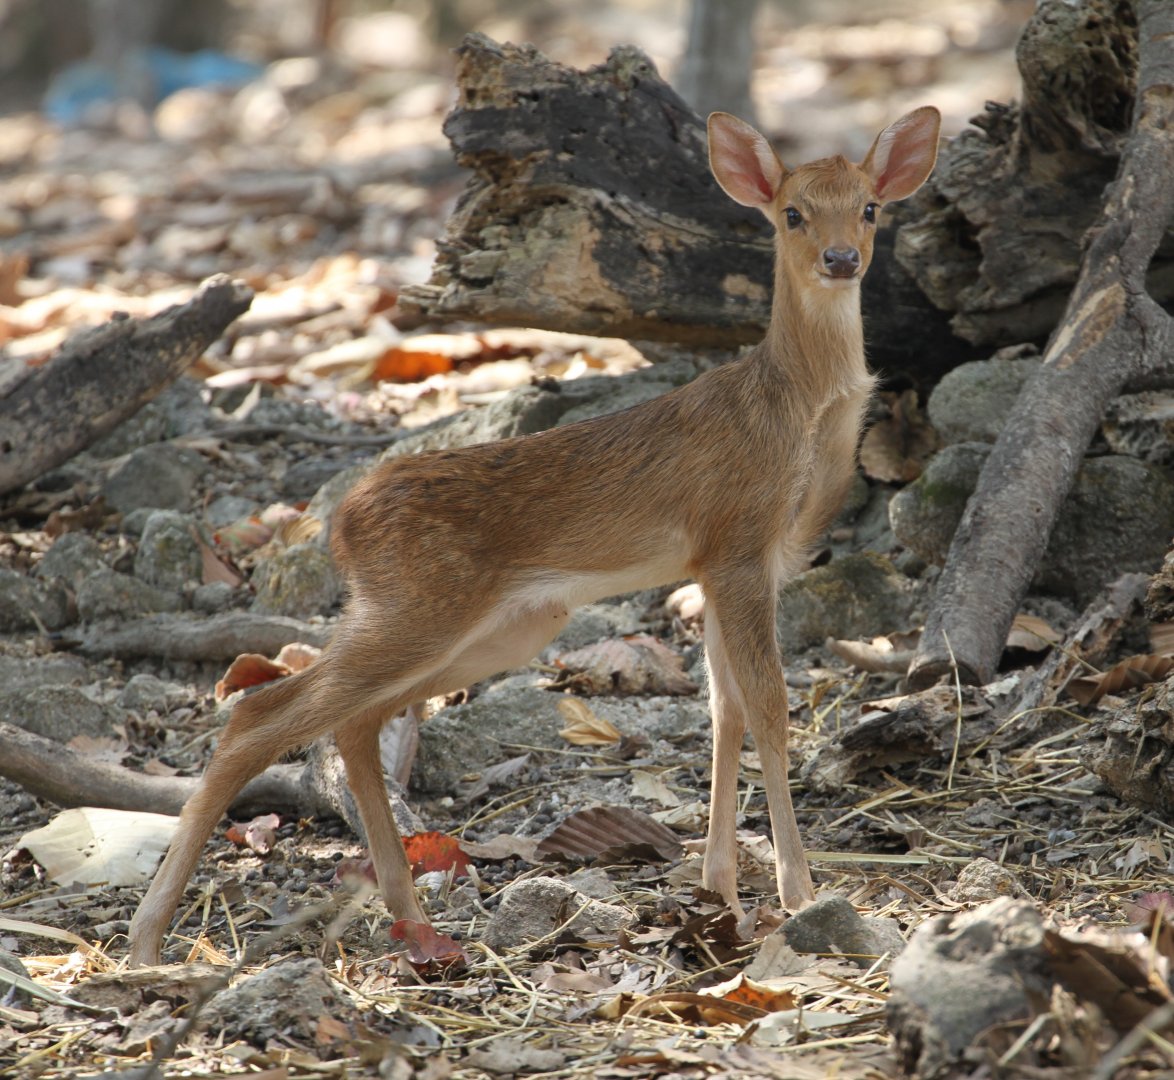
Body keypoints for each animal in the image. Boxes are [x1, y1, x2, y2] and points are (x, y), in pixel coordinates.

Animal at [127, 104, 940, 967]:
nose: (841, 259)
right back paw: (148, 935)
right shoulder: (737, 543)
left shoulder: (722, 565)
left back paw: (407, 910)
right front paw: (798, 891)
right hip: (421, 606)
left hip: (497, 625)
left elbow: (724, 711)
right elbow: (770, 708)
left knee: (351, 721)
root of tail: (342, 525)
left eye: (870, 208)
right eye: (791, 213)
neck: (797, 412)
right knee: (260, 716)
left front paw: (718, 887)